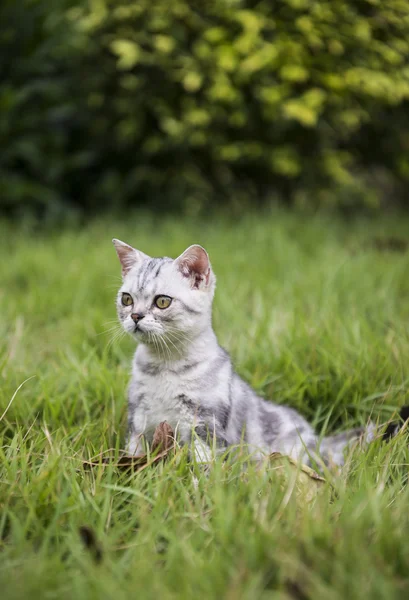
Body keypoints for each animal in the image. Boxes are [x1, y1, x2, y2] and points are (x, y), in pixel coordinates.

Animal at [111, 241, 398, 466]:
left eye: (162, 301)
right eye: (127, 299)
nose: (135, 316)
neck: (164, 366)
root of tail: (317, 440)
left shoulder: (204, 424)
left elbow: (203, 469)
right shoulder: (138, 419)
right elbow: (133, 456)